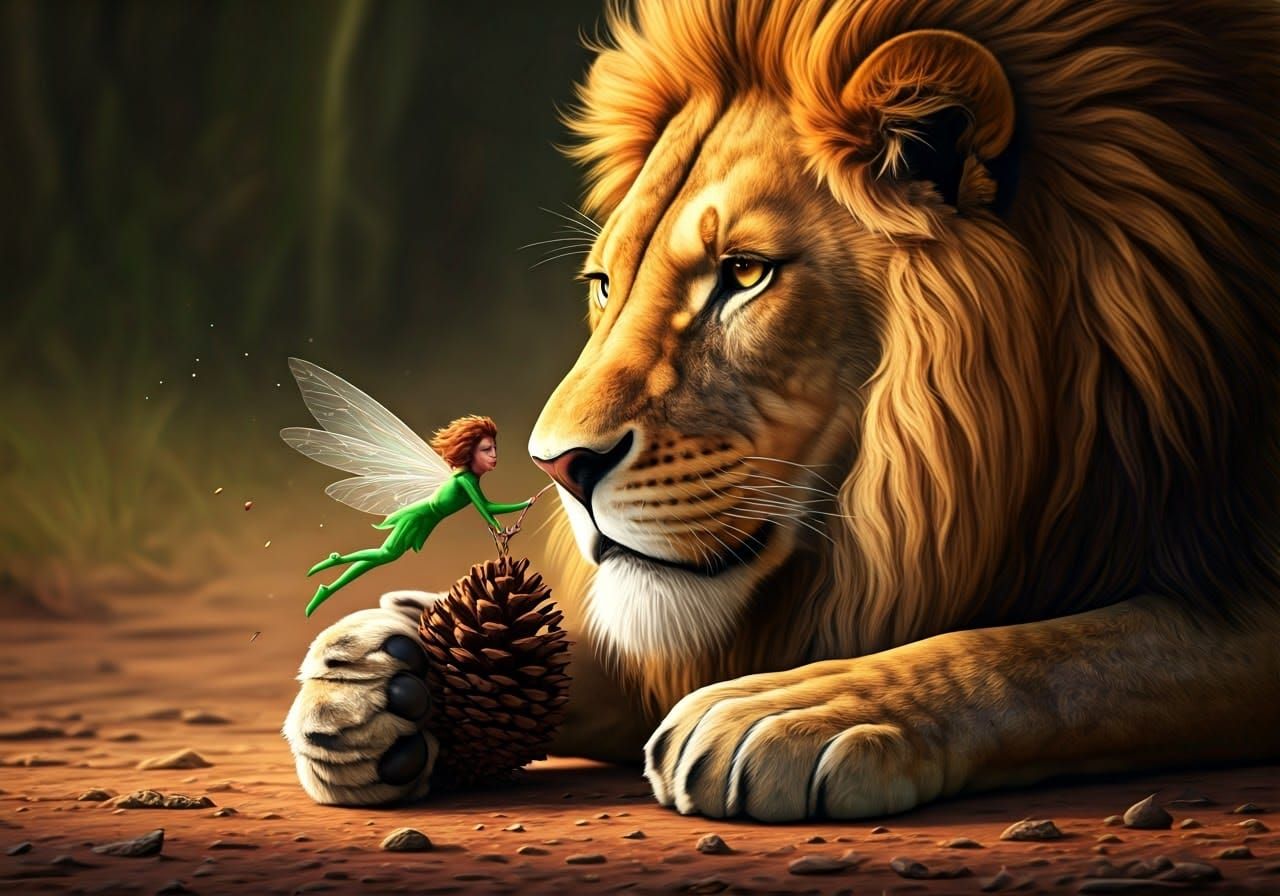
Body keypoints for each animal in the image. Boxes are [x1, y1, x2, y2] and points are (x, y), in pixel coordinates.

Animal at [283, 0, 1280, 820]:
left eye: (745, 275)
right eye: (606, 284)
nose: (557, 467)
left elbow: (1048, 653)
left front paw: (801, 704)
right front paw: (391, 667)